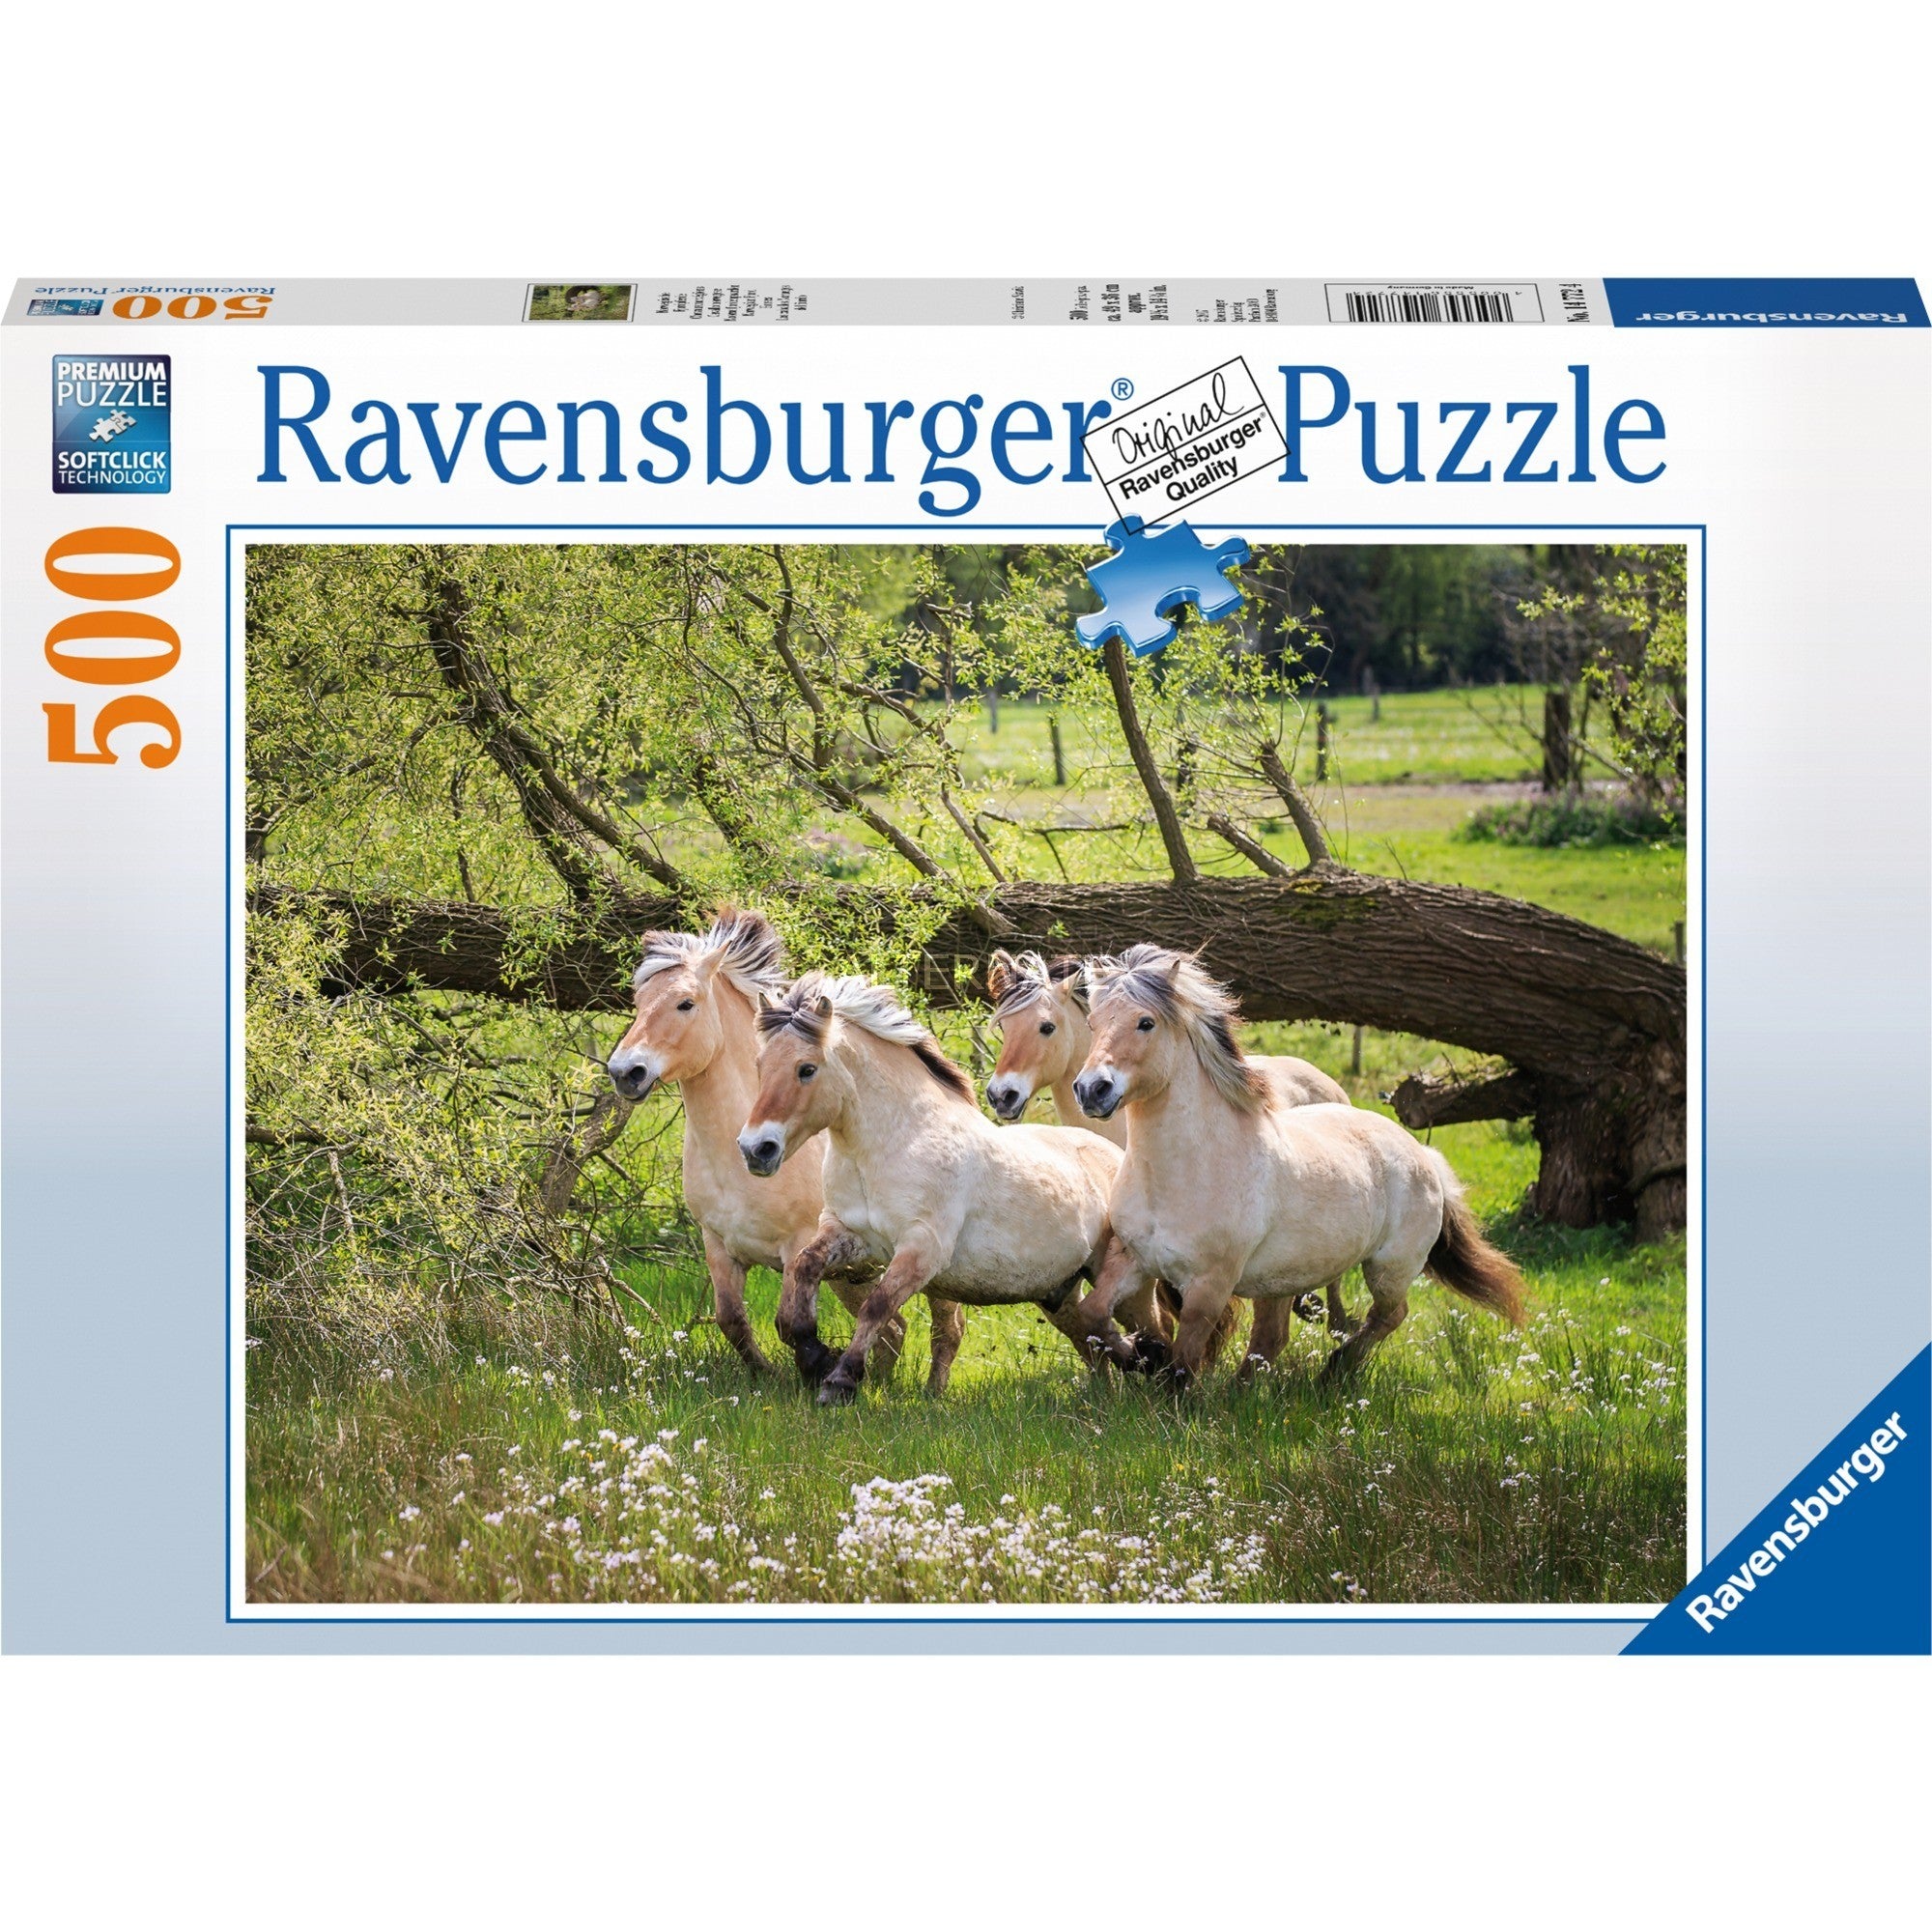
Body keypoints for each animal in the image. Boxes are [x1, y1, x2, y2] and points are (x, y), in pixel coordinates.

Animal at [605, 910, 964, 1386]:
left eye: (686, 1003)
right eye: (638, 1001)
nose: (625, 1072)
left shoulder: (799, 1245)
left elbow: (789, 1324)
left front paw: (817, 1365)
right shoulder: (718, 1245)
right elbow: (732, 1321)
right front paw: (773, 1377)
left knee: (947, 1327)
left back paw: (930, 1392)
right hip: (853, 1274)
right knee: (893, 1330)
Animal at [737, 972, 1145, 1405]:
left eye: (806, 1069)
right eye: (761, 1065)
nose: (755, 1149)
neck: (893, 1143)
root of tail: (1117, 1156)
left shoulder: (922, 1248)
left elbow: (877, 1306)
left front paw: (840, 1380)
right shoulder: (849, 1233)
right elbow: (802, 1270)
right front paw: (812, 1356)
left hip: (1115, 1277)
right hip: (1059, 1292)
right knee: (1091, 1339)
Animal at [1070, 944, 1525, 1386]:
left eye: (1145, 1023)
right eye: (1091, 1022)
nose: (1091, 1089)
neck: (1181, 1174)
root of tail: (1422, 1155)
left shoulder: (1209, 1287)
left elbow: (1183, 1366)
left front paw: (1158, 1367)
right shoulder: (1131, 1258)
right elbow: (1091, 1315)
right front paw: (1140, 1355)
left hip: (1389, 1268)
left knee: (1389, 1315)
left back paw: (1335, 1370)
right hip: (1281, 1279)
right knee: (1272, 1339)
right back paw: (1249, 1387)